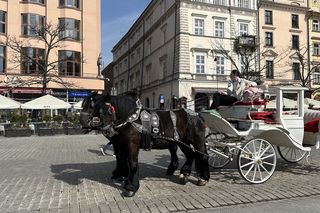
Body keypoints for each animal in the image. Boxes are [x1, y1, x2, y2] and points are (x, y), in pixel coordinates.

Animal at [80, 94, 210, 197]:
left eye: (93, 105)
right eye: (83, 104)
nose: (82, 121)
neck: (131, 120)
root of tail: (197, 114)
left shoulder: (131, 145)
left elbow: (132, 163)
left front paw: (131, 187)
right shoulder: (121, 144)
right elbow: (122, 160)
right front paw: (123, 177)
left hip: (197, 140)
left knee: (203, 155)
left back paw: (203, 178)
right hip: (182, 141)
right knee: (190, 155)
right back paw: (184, 174)